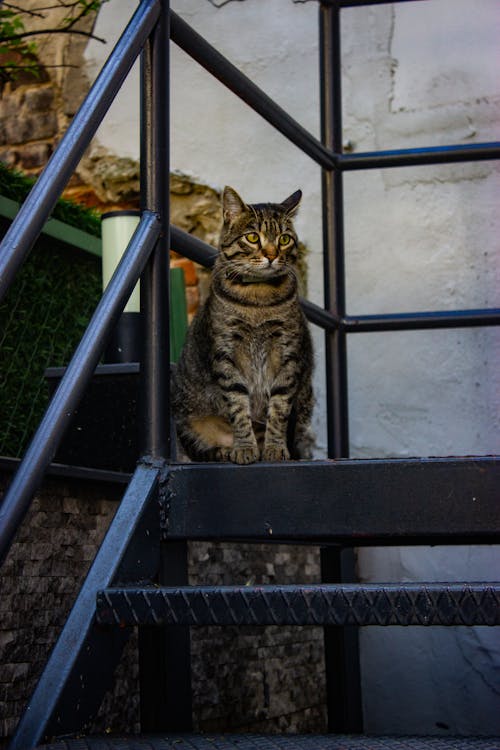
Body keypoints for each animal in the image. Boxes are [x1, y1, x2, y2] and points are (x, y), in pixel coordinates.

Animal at [172, 187, 312, 464]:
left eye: (284, 239)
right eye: (252, 237)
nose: (271, 255)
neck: (258, 298)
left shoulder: (288, 355)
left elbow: (278, 409)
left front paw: (275, 449)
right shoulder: (226, 354)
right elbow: (238, 407)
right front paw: (245, 448)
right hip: (186, 421)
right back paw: (228, 449)